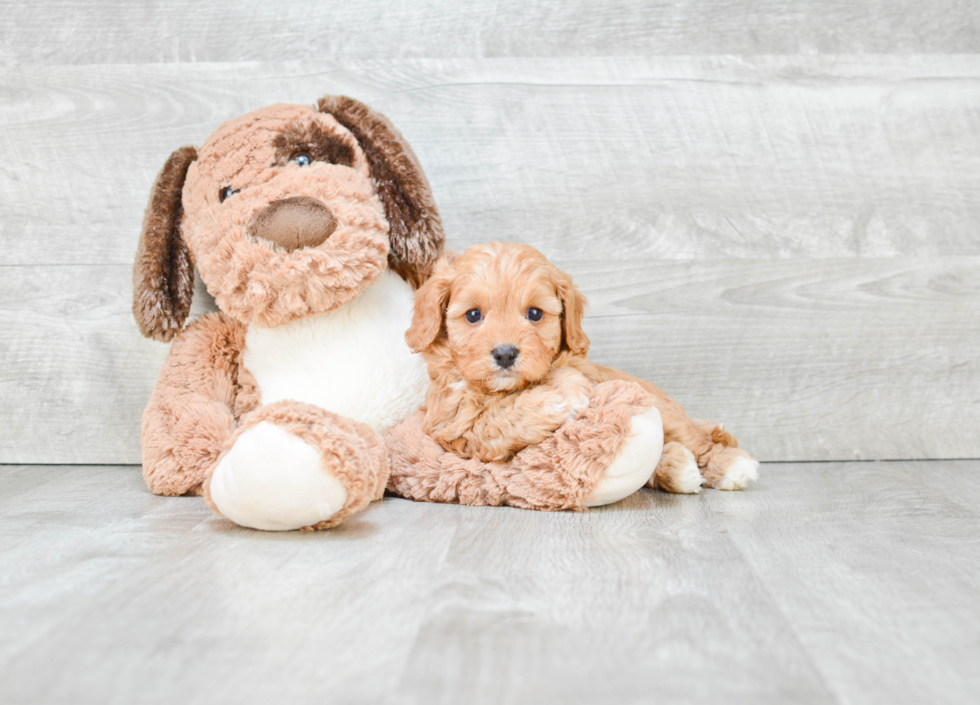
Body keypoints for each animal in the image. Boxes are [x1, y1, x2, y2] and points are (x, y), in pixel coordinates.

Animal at [404, 239, 756, 492]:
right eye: (473, 315)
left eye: (534, 313)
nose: (505, 354)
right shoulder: (450, 424)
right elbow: (490, 421)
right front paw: (554, 401)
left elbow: (565, 375)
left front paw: (565, 388)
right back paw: (678, 468)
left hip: (665, 410)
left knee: (698, 440)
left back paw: (731, 467)